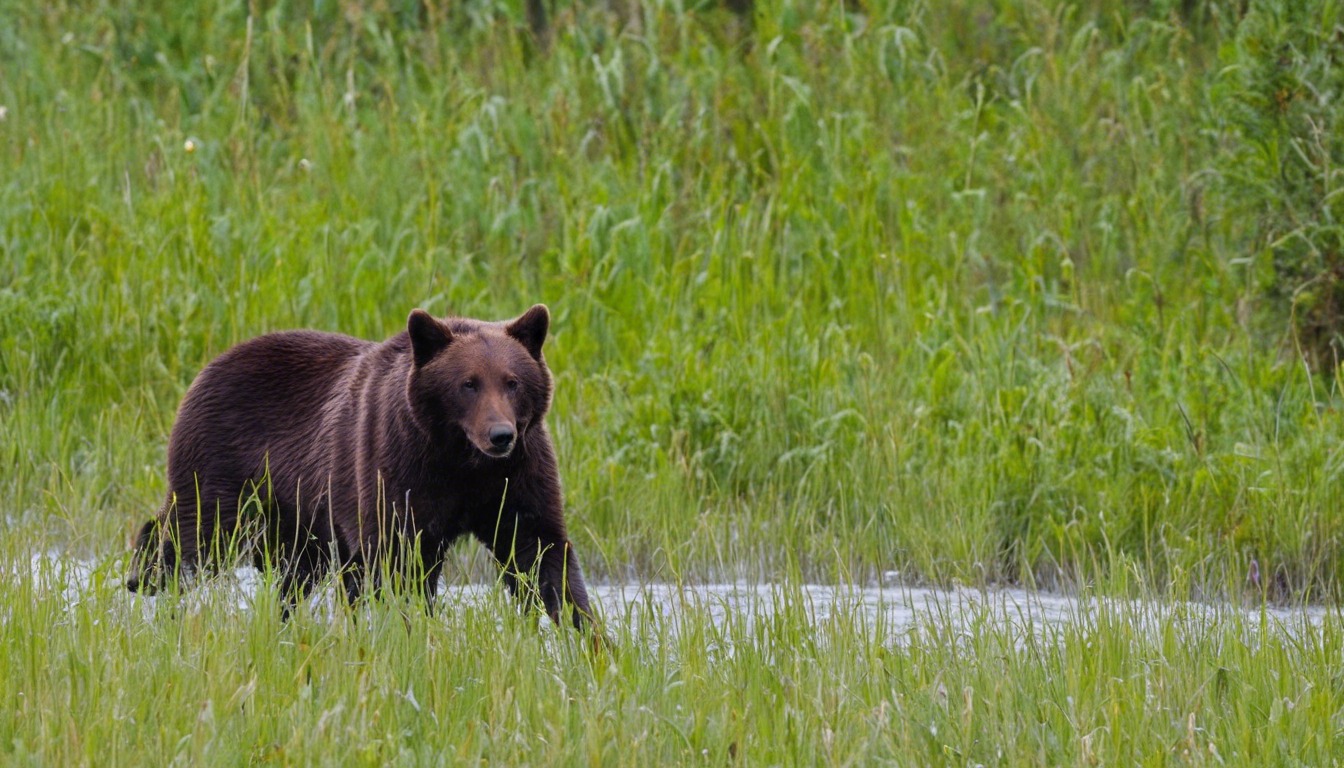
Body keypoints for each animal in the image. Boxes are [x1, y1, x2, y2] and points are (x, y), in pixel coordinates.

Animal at [126, 306, 594, 632]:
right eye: (468, 383)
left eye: (512, 381)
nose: (500, 435)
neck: (458, 458)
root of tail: (210, 365)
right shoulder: (398, 466)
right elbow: (398, 559)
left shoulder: (515, 476)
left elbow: (541, 549)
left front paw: (590, 639)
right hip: (228, 465)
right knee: (192, 538)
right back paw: (143, 578)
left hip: (301, 514)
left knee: (297, 572)